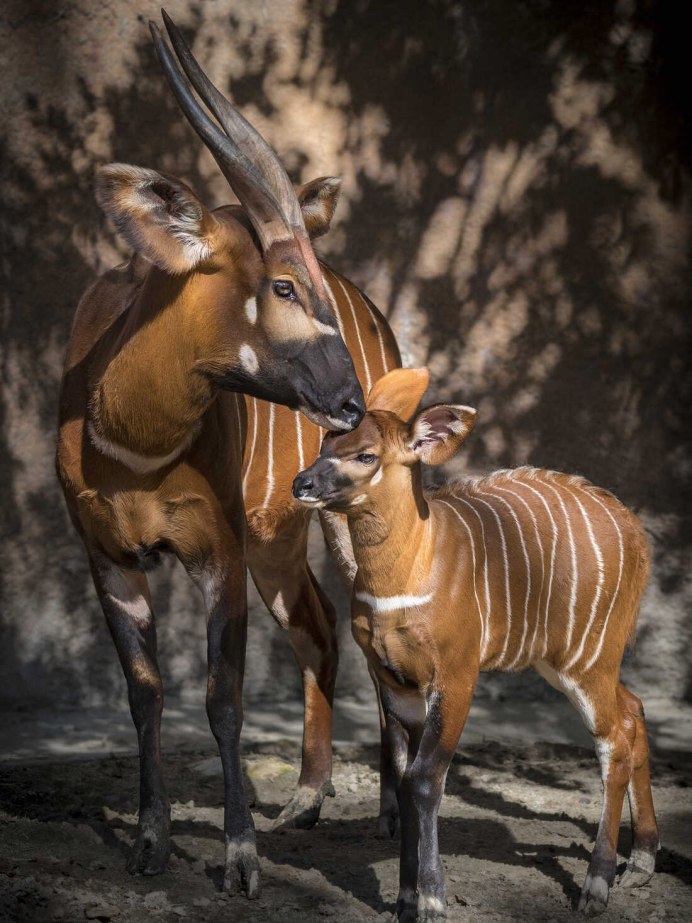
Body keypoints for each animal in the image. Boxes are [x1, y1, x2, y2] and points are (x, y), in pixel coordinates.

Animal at [56, 12, 400, 896]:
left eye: (304, 282)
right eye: (281, 284)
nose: (353, 406)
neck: (133, 440)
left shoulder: (218, 554)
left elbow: (223, 700)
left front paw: (240, 859)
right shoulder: (109, 555)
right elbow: (145, 693)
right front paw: (149, 842)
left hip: (339, 526)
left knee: (369, 626)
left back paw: (387, 806)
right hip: (279, 541)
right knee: (319, 626)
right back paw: (307, 799)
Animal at [294, 370, 660, 923]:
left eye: (365, 454)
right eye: (324, 444)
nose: (302, 484)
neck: (405, 576)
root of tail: (636, 532)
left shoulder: (456, 676)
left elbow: (426, 779)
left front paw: (431, 899)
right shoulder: (395, 682)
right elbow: (403, 775)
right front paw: (405, 899)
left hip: (587, 659)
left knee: (614, 737)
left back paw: (596, 886)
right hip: (568, 661)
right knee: (634, 709)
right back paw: (641, 860)